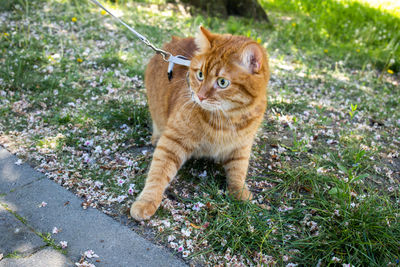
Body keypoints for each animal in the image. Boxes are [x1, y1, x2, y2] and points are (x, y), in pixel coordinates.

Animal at [130, 26, 268, 221]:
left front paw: (240, 192)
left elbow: (238, 169)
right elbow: (158, 173)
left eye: (222, 82)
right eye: (200, 75)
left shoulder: (241, 146)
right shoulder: (172, 141)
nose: (200, 96)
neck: (227, 119)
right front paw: (146, 201)